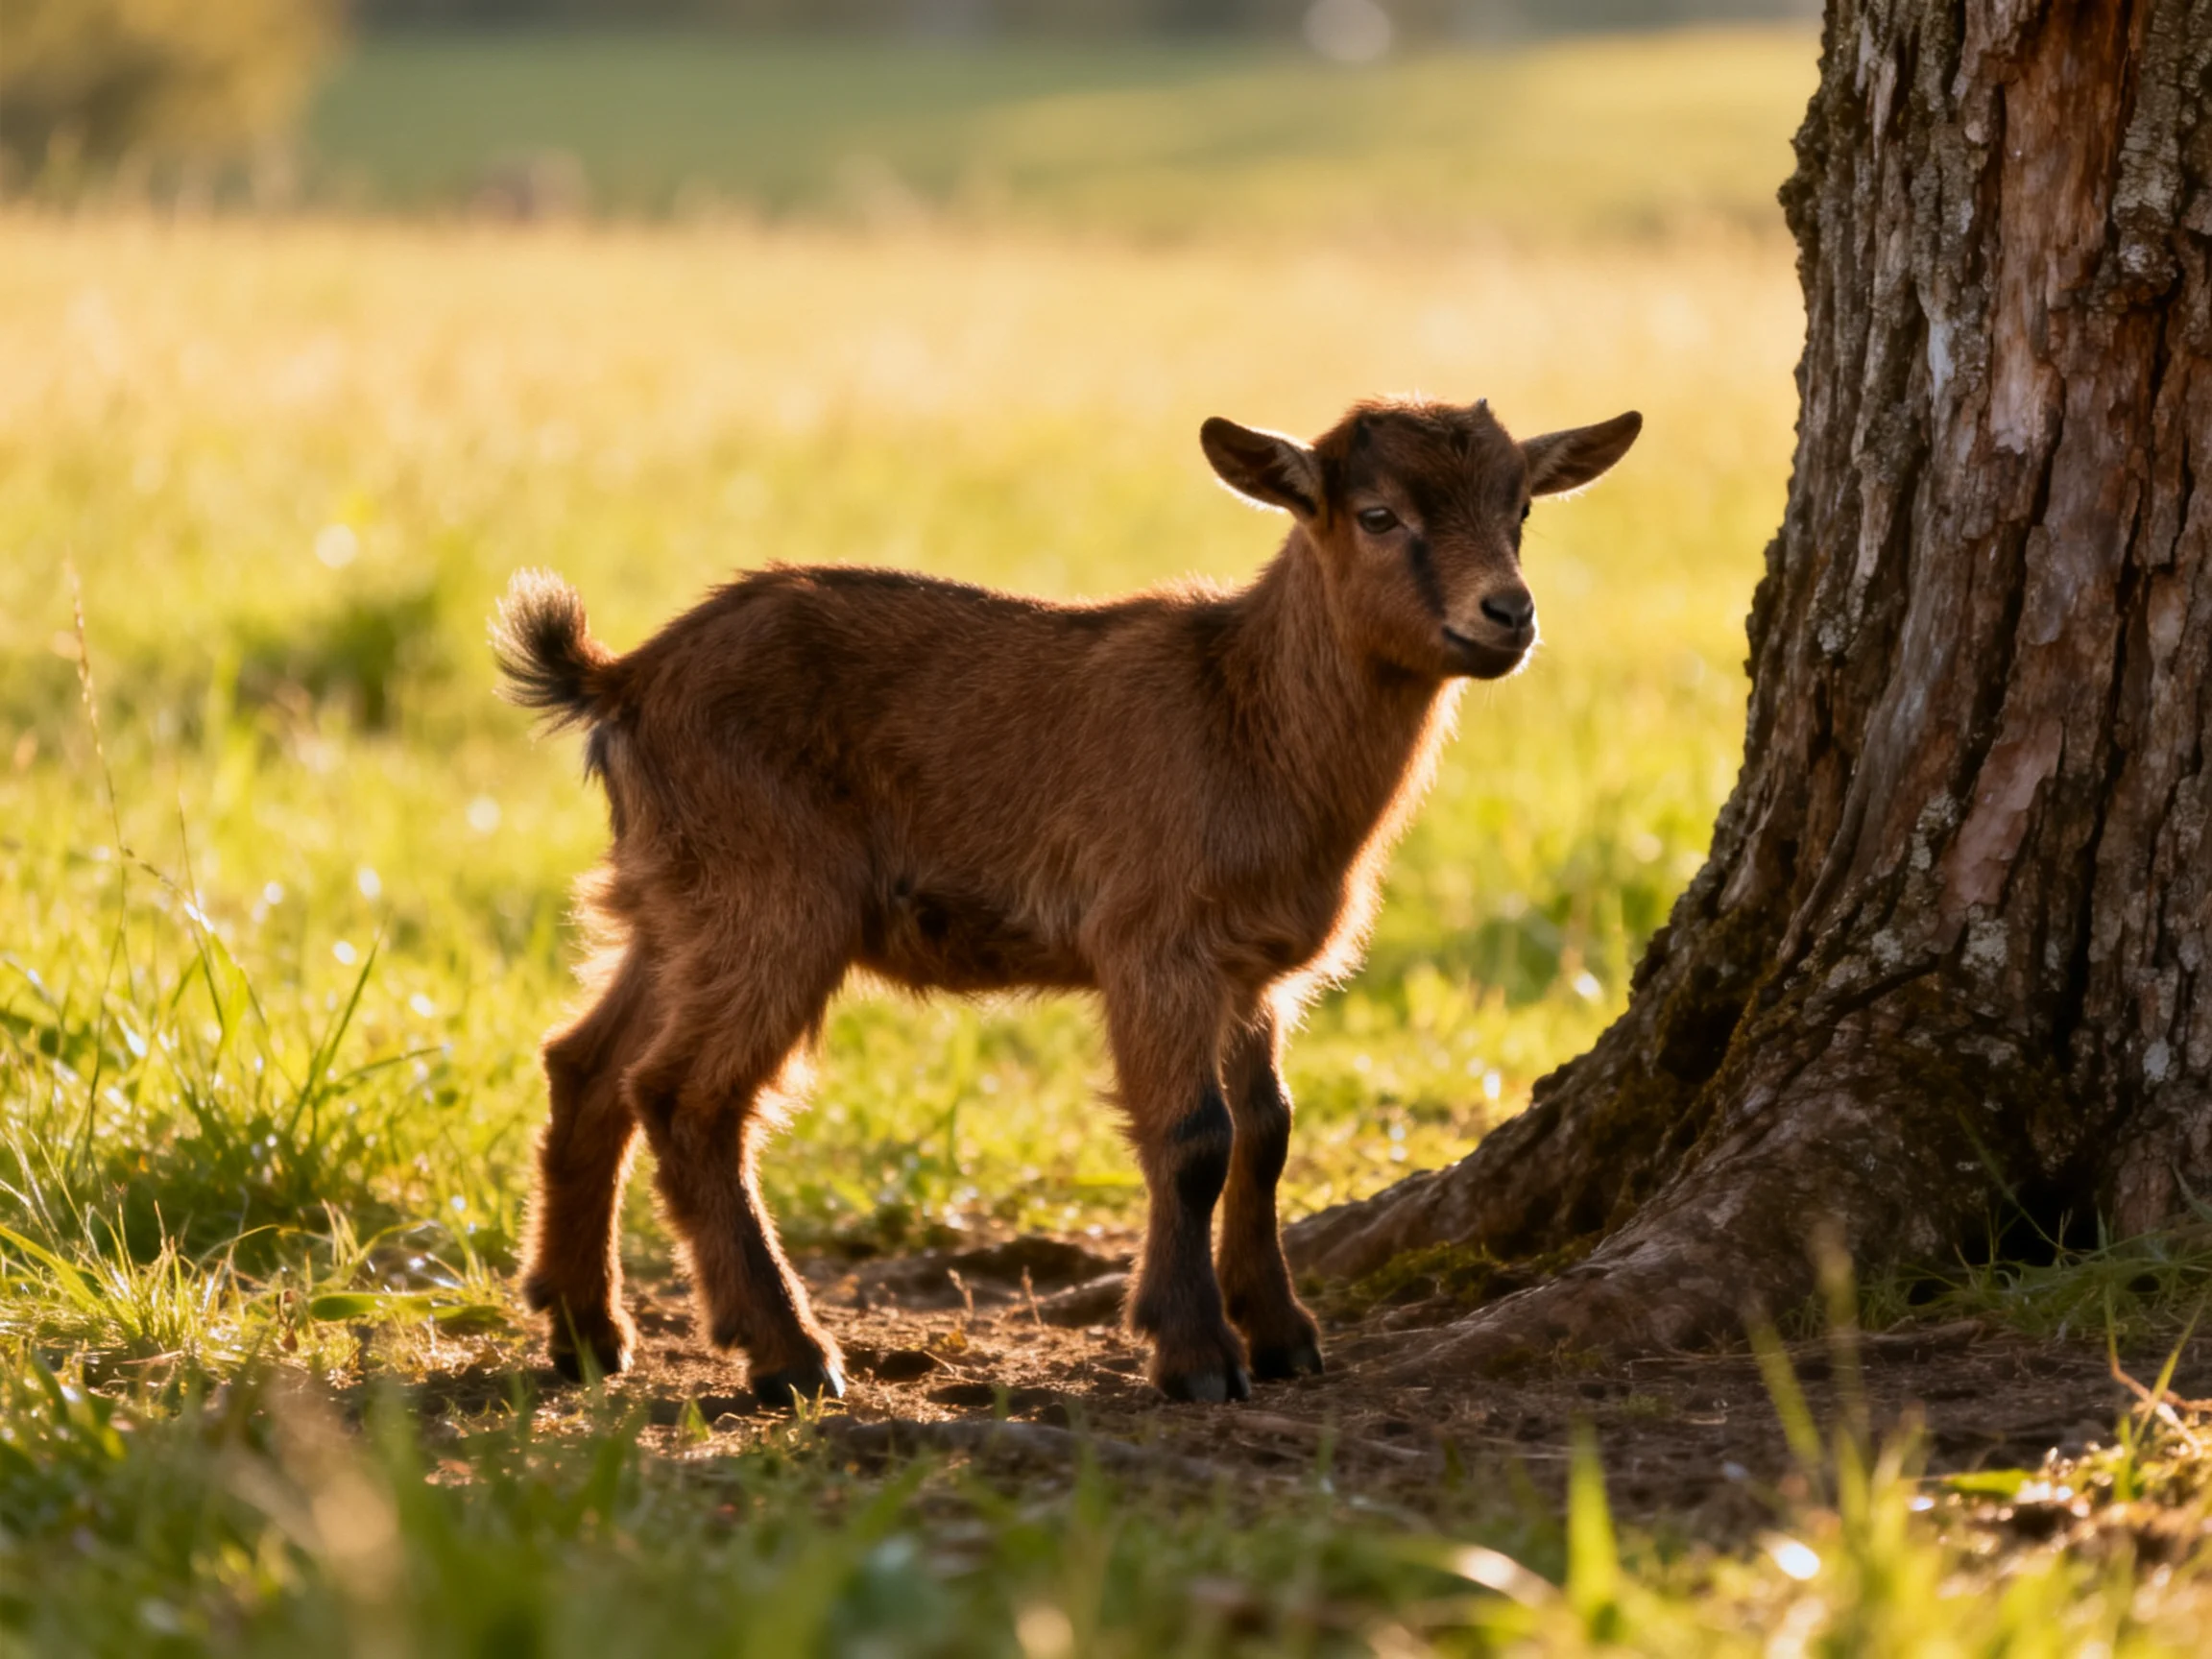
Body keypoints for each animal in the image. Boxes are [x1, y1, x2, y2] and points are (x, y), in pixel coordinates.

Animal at [493, 396, 1640, 1405]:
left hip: (676, 899)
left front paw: (1283, 1337)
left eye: (1520, 509)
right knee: (687, 1097)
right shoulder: (1154, 946)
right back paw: (787, 1356)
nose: (1508, 613)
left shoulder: (1252, 970)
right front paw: (1196, 1357)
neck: (1245, 712)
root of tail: (623, 679)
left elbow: (1266, 1132)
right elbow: (1194, 1139)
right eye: (1378, 514)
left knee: (587, 1063)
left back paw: (585, 1330)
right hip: (772, 900)